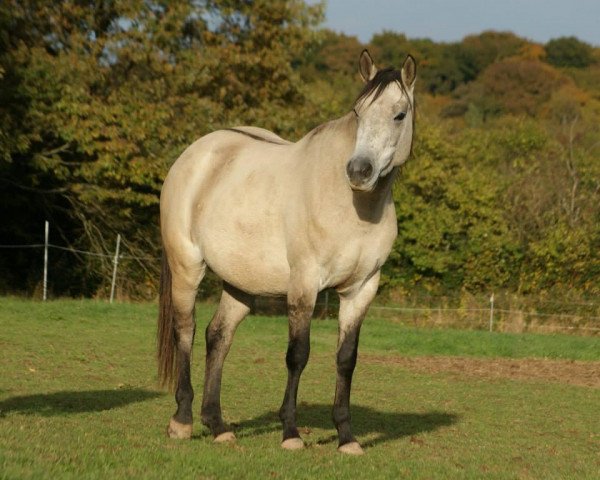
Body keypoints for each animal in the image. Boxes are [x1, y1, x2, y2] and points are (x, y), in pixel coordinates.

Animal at [157, 50, 414, 456]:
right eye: (358, 112)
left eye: (399, 114)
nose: (359, 171)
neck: (352, 205)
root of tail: (193, 155)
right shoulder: (304, 284)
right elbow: (298, 355)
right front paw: (291, 432)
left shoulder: (361, 290)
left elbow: (346, 359)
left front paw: (347, 437)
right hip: (187, 267)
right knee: (186, 330)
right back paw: (182, 421)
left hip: (241, 283)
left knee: (218, 336)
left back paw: (218, 425)